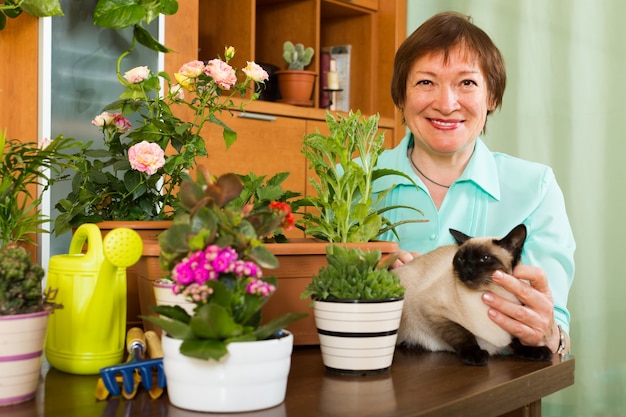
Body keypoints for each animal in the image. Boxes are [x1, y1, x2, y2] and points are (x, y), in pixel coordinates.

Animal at [394, 224, 552, 364]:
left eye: (485, 258)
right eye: (461, 259)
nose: (467, 271)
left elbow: (517, 339)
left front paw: (537, 352)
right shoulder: (432, 310)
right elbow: (463, 333)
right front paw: (476, 355)